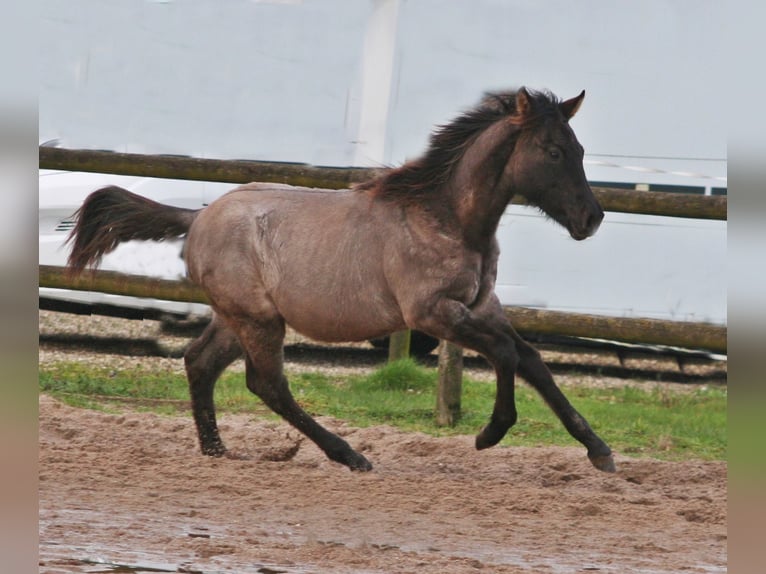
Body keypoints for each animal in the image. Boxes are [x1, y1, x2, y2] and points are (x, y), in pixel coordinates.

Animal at [66, 86, 616, 472]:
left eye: (579, 147)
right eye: (552, 150)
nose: (591, 219)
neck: (447, 219)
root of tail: (197, 217)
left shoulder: (483, 307)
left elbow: (533, 360)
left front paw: (599, 450)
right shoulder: (432, 314)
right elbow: (506, 354)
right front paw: (490, 434)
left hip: (237, 318)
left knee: (200, 363)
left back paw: (217, 450)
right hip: (258, 320)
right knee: (266, 383)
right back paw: (349, 455)